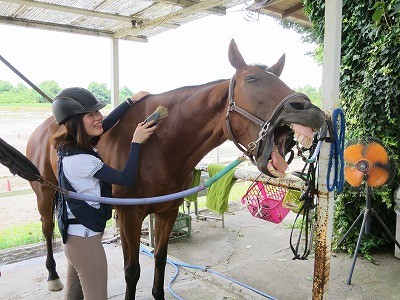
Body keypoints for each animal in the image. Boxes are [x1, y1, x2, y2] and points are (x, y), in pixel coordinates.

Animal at [26, 38, 324, 298]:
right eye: (251, 79)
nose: (309, 110)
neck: (159, 144)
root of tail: (47, 127)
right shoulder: (130, 216)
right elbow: (132, 271)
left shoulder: (167, 212)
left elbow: (160, 259)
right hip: (44, 192)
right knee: (47, 228)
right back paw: (53, 276)